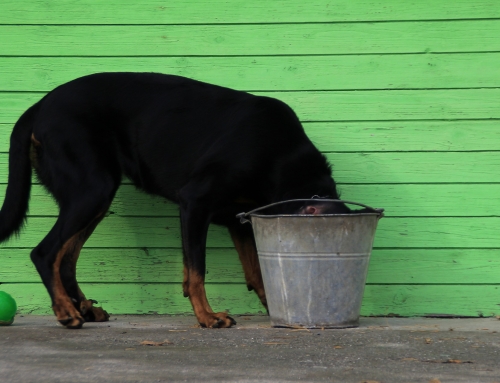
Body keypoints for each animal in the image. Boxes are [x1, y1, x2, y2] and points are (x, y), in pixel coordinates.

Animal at [0, 73, 350, 328]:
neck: (283, 157)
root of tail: (40, 105)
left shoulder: (239, 219)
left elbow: (257, 272)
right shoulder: (195, 201)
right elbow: (197, 269)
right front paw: (208, 316)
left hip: (94, 198)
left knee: (67, 258)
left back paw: (85, 309)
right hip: (92, 189)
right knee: (45, 253)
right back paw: (65, 312)